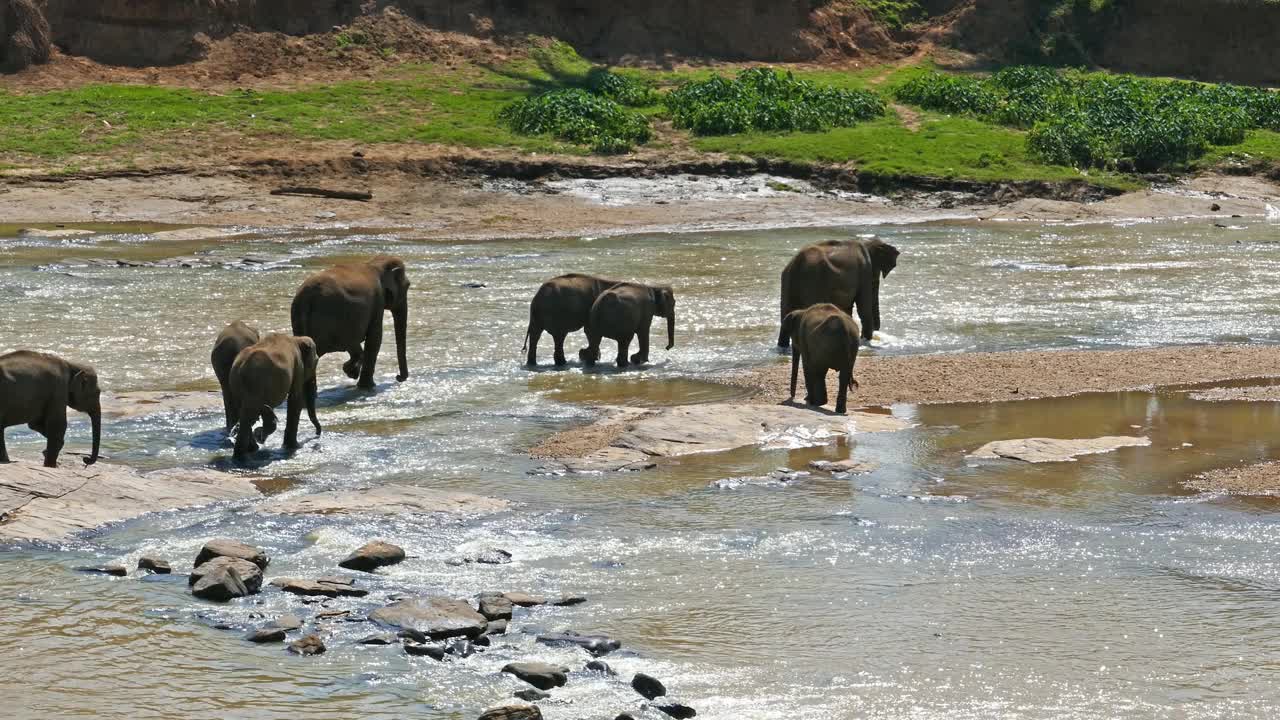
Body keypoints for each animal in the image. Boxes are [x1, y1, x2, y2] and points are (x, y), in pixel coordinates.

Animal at [229, 330, 320, 458]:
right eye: (315, 362)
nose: (317, 434)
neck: (297, 339)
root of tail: (239, 367)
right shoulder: (298, 365)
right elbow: (296, 398)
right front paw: (294, 447)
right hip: (254, 386)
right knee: (251, 414)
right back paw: (247, 450)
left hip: (237, 387)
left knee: (247, 414)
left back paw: (252, 447)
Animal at [290, 252, 409, 386]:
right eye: (407, 286)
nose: (398, 377)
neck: (376, 264)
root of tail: (306, 298)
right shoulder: (378, 300)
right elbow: (375, 338)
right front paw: (367, 386)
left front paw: (351, 372)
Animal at [768, 237, 901, 345]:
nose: (877, 331)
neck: (867, 243)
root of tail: (797, 263)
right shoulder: (864, 271)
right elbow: (863, 307)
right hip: (813, 281)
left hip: (787, 281)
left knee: (785, 317)